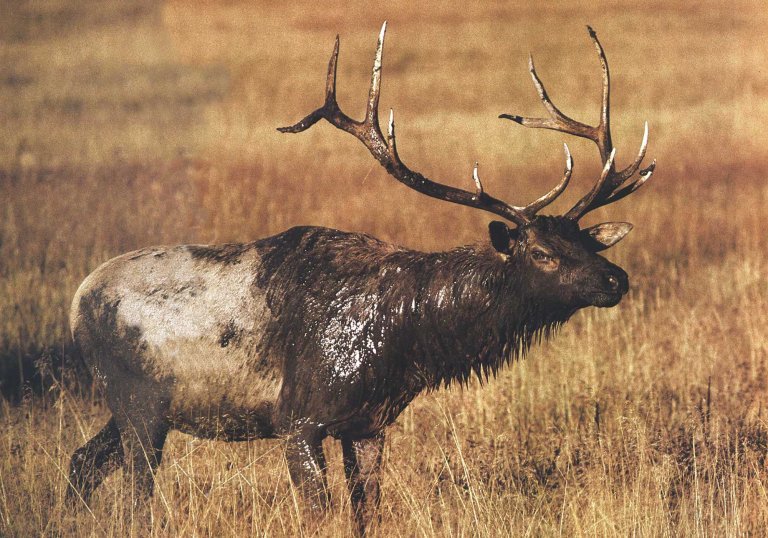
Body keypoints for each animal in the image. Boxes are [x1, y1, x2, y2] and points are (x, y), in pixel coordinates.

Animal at [67, 23, 654, 535]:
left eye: (587, 242)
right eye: (541, 253)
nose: (616, 280)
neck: (407, 343)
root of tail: (75, 302)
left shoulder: (370, 423)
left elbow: (366, 512)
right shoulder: (298, 417)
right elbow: (318, 515)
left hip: (134, 406)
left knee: (81, 463)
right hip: (135, 398)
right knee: (133, 494)